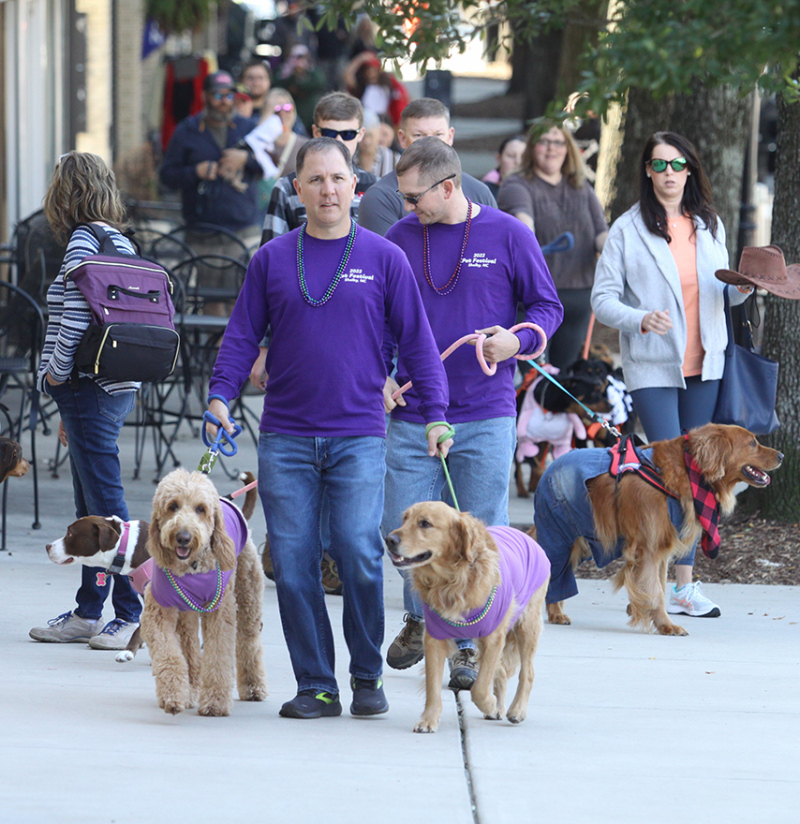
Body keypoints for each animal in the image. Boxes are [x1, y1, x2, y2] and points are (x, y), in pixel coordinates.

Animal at [386, 502, 552, 732]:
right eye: (404, 519)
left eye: (425, 523)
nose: (389, 539)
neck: (451, 581)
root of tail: (527, 535)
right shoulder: (434, 639)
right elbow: (433, 686)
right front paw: (429, 719)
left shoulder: (493, 638)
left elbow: (480, 688)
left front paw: (489, 703)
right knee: (501, 672)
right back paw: (500, 708)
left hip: (527, 626)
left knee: (527, 673)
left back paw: (516, 710)